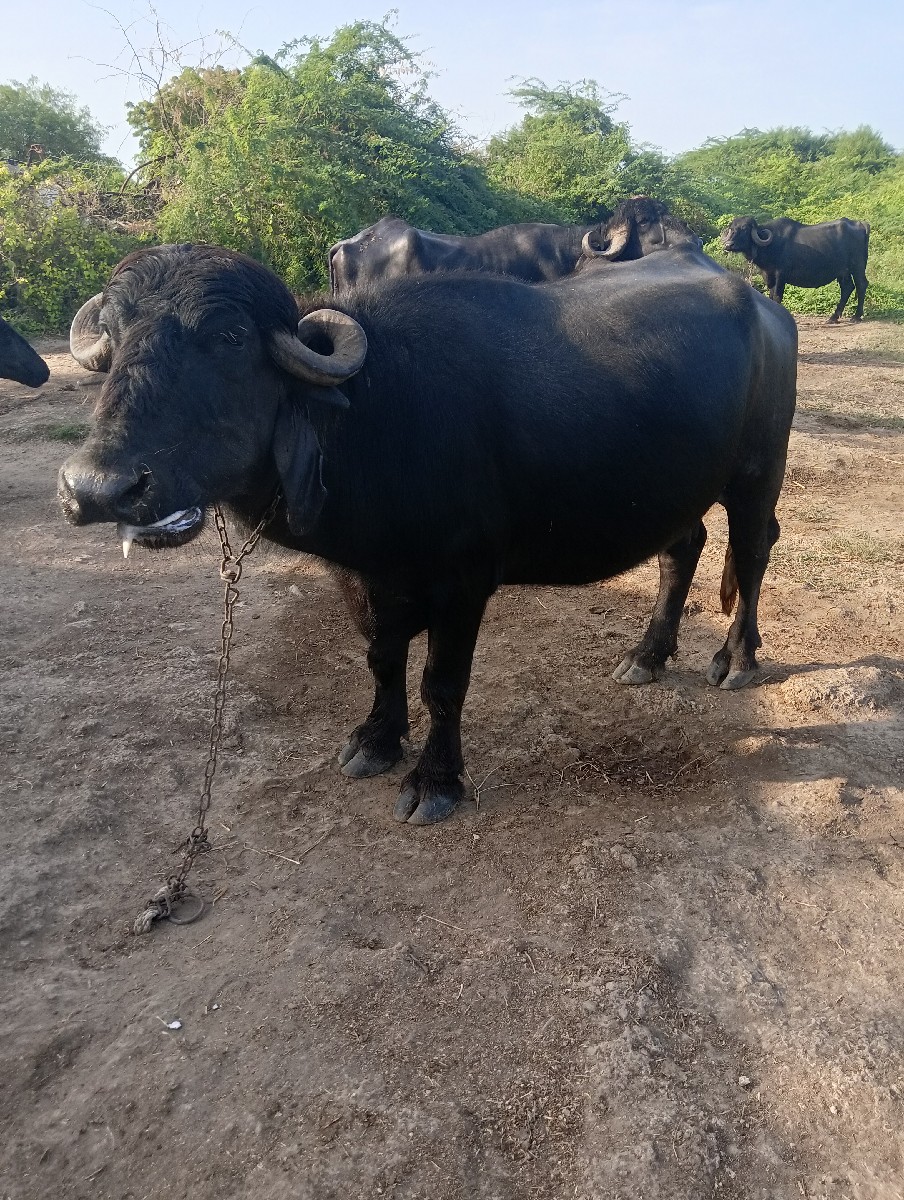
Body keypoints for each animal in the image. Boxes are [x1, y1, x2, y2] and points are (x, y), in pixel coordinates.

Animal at [59, 242, 797, 825]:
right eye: (115, 338)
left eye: (231, 337)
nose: (97, 487)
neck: (374, 414)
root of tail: (765, 310)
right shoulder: (359, 575)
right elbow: (382, 660)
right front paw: (376, 742)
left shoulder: (463, 581)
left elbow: (442, 683)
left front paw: (435, 781)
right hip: (676, 485)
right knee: (684, 548)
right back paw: (648, 654)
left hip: (758, 472)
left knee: (753, 549)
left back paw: (737, 659)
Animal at [720, 216, 870, 322]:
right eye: (731, 228)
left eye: (745, 228)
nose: (728, 245)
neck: (771, 244)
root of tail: (861, 224)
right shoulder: (768, 275)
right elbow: (771, 296)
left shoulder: (781, 275)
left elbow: (777, 296)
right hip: (842, 271)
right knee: (847, 287)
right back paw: (833, 317)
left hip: (858, 265)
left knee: (861, 284)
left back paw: (857, 316)